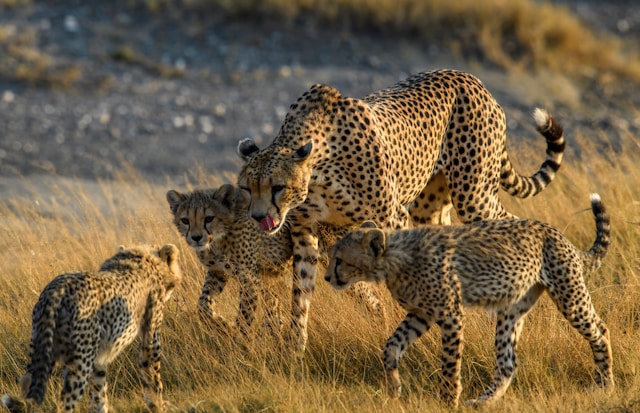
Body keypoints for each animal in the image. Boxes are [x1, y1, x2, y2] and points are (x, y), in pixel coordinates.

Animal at [1, 244, 182, 413]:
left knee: (27, 382)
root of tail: (56, 288)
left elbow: (98, 391)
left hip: (42, 348)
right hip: (80, 361)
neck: (141, 258)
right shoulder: (151, 338)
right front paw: (158, 406)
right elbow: (152, 376)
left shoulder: (100, 354)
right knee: (64, 402)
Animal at [166, 184, 382, 338]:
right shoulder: (218, 272)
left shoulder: (249, 279)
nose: (196, 238)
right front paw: (222, 324)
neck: (218, 238)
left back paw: (380, 326)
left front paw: (239, 343)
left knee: (373, 297)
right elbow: (203, 305)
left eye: (209, 218)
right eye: (185, 220)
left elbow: (244, 317)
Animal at [237, 68, 566, 351]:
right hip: (431, 205)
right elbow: (301, 293)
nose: (258, 217)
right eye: (246, 188)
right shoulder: (309, 231)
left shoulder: (393, 218)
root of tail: (468, 77)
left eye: (277, 187)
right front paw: (295, 349)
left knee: (510, 225)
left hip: (474, 195)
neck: (319, 167)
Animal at [324, 194, 613, 407]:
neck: (394, 259)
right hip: (512, 309)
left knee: (600, 330)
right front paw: (393, 388)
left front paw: (447, 401)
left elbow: (449, 364)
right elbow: (391, 346)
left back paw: (605, 384)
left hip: (569, 294)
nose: (327, 277)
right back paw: (483, 401)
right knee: (507, 362)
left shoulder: (450, 314)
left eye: (339, 260)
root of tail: (556, 233)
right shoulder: (421, 314)